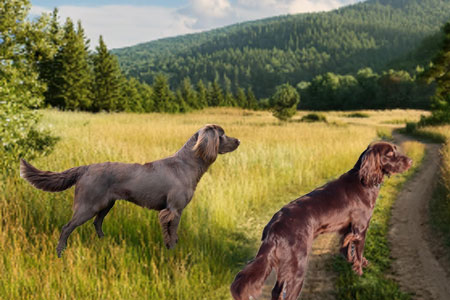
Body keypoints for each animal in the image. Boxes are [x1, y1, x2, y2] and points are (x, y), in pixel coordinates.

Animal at [20, 124, 239, 258]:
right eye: (222, 135)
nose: (238, 141)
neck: (186, 164)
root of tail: (86, 168)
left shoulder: (173, 210)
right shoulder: (172, 210)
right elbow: (171, 233)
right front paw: (172, 251)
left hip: (106, 204)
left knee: (97, 223)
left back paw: (105, 242)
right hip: (87, 205)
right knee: (67, 227)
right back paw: (60, 252)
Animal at [232, 141, 412, 300]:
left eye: (396, 150)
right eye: (389, 154)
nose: (410, 161)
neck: (363, 180)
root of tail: (274, 228)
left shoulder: (347, 229)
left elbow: (346, 247)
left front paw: (352, 262)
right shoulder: (361, 228)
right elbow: (359, 252)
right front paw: (359, 273)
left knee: (276, 292)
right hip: (297, 266)